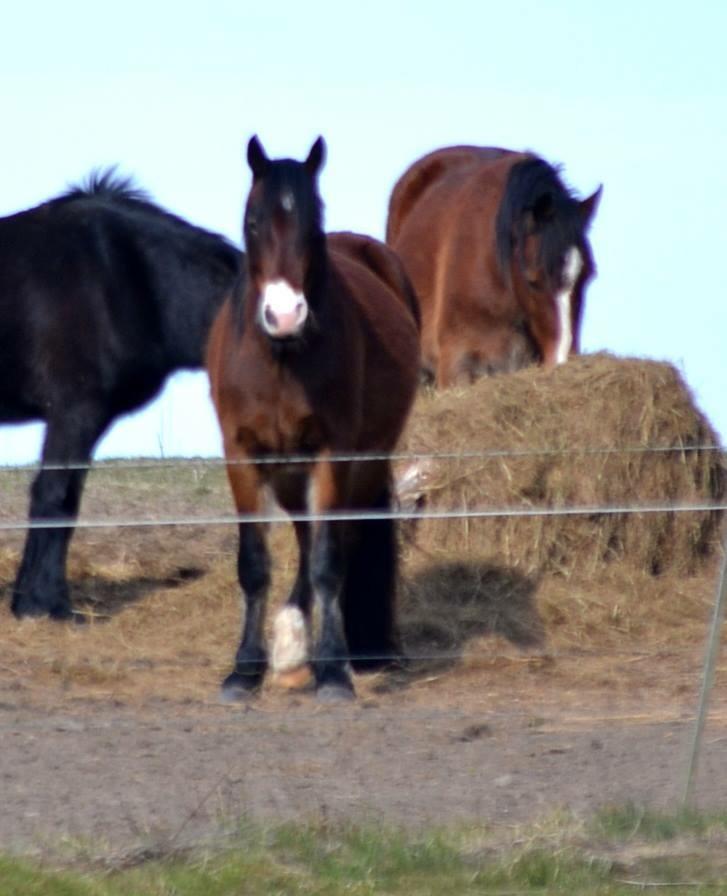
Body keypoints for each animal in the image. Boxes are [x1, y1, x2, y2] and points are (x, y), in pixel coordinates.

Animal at [205, 138, 420, 700]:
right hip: (288, 472)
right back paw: (291, 649)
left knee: (338, 540)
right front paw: (244, 670)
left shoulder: (332, 453)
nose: (285, 315)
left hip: (360, 464)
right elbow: (255, 564)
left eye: (313, 219)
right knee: (305, 538)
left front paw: (334, 672)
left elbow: (328, 562)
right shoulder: (243, 456)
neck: (281, 357)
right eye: (253, 221)